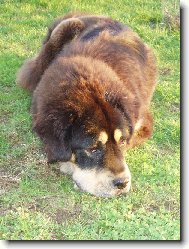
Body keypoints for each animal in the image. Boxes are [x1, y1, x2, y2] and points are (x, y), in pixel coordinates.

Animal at [17, 12, 157, 197]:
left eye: (122, 141)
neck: (88, 82)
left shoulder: (142, 121)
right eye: (92, 149)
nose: (122, 183)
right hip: (63, 29)